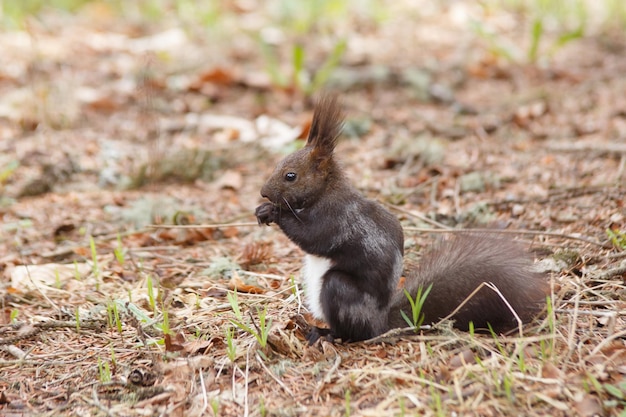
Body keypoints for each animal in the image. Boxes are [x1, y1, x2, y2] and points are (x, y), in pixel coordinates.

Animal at [255, 94, 544, 342]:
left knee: (352, 331)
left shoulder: (338, 219)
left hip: (341, 291)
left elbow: (312, 238)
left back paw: (325, 334)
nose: (263, 192)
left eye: (290, 176)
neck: (325, 192)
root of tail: (379, 322)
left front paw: (272, 212)